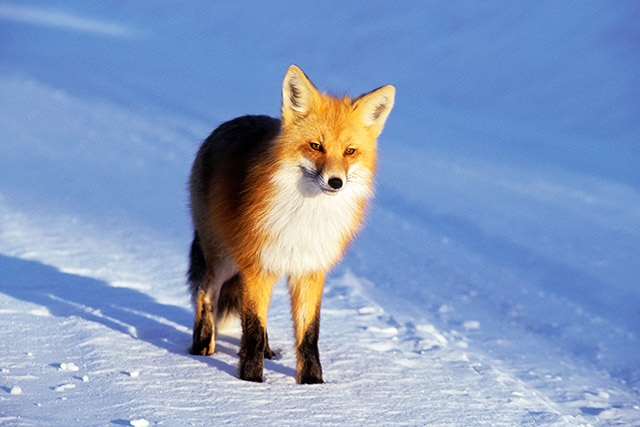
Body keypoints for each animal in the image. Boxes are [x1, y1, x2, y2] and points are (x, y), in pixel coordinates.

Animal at [187, 65, 394, 384]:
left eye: (349, 151)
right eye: (316, 146)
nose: (336, 182)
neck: (306, 214)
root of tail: (231, 122)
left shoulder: (309, 270)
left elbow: (308, 335)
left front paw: (312, 384)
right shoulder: (257, 265)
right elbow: (252, 330)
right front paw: (250, 382)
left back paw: (267, 351)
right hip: (224, 257)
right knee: (205, 293)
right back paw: (201, 349)